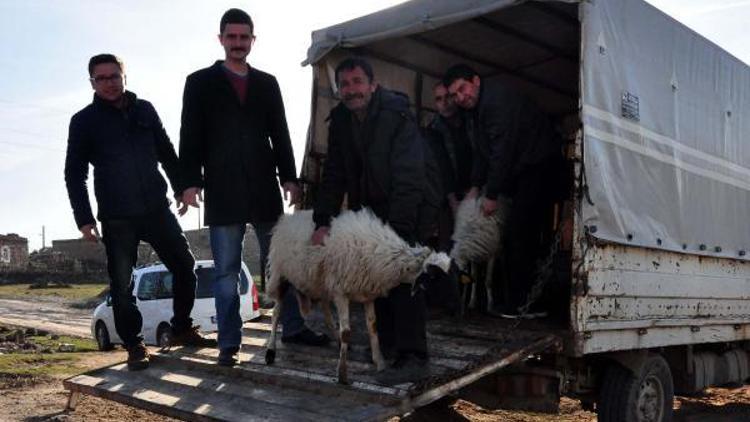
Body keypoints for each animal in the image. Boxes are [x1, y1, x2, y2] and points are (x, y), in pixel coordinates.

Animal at [264, 209, 452, 384]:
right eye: (433, 277)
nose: (450, 305)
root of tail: (289, 217)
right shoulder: (340, 292)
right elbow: (346, 332)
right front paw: (342, 374)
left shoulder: (366, 293)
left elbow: (373, 327)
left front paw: (380, 363)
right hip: (281, 275)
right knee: (276, 313)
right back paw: (270, 351)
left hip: (321, 283)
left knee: (326, 312)